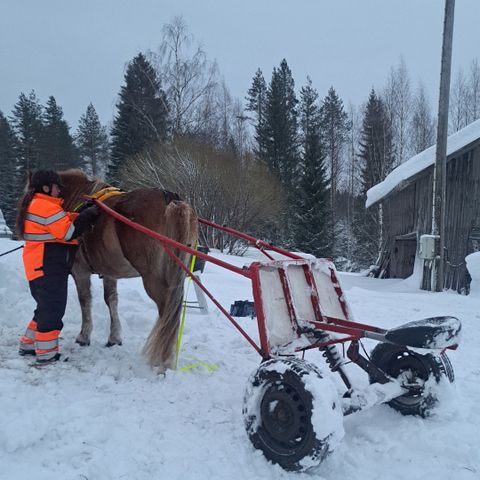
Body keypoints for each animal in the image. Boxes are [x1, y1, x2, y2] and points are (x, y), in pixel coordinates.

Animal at [59, 169, 198, 372]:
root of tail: (172, 200)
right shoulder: (109, 272)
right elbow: (111, 300)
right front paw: (114, 338)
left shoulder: (80, 271)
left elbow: (85, 301)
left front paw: (84, 336)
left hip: (154, 279)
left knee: (167, 312)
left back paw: (164, 361)